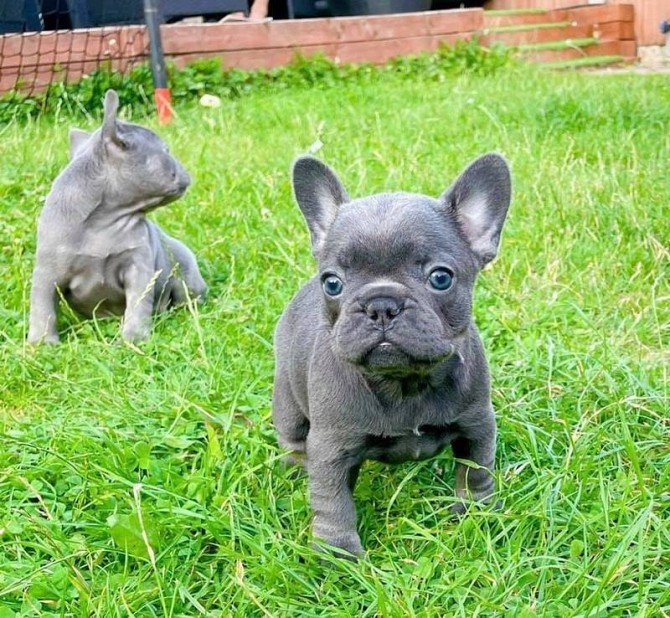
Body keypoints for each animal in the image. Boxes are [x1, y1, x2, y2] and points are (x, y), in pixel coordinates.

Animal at [28, 89, 207, 344]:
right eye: (166, 151)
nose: (185, 170)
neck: (103, 221)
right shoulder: (47, 272)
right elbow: (43, 308)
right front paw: (42, 343)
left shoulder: (138, 267)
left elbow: (138, 305)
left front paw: (133, 339)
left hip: (186, 273)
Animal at [272, 153, 516, 552]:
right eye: (332, 283)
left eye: (441, 278)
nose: (381, 304)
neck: (404, 384)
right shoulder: (331, 447)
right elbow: (332, 501)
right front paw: (338, 553)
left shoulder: (477, 425)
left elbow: (476, 473)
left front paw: (478, 517)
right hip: (288, 405)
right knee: (292, 439)